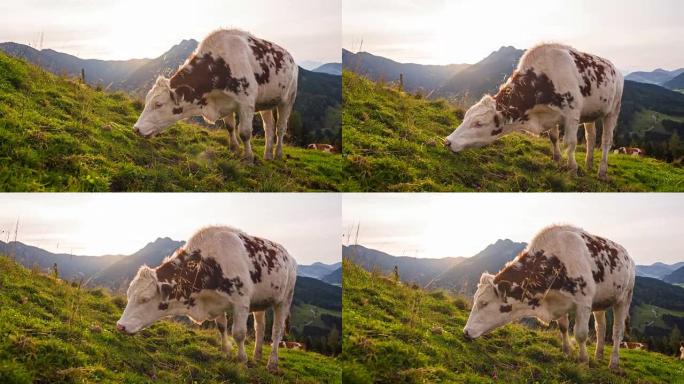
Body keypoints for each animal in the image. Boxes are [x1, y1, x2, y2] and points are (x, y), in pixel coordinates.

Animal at [115, 225, 296, 372]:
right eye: (128, 295)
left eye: (145, 299)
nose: (120, 326)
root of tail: (289, 256)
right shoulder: (216, 302)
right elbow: (222, 327)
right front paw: (226, 352)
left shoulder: (241, 302)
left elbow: (238, 333)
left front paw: (241, 359)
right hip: (260, 302)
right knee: (260, 328)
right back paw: (257, 356)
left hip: (284, 299)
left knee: (276, 331)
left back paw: (272, 363)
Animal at [132, 29, 298, 162]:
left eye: (158, 104)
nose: (136, 129)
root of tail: (290, 57)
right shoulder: (225, 102)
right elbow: (230, 127)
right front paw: (234, 149)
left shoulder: (246, 103)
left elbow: (244, 133)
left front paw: (248, 157)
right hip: (266, 102)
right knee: (269, 126)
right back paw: (268, 155)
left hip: (288, 99)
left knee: (280, 128)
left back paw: (278, 154)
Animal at [444, 44, 624, 180]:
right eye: (465, 117)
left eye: (479, 123)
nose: (447, 141)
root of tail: (614, 67)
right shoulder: (552, 115)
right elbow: (553, 138)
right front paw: (557, 160)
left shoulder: (572, 113)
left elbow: (570, 143)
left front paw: (572, 169)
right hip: (590, 114)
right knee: (591, 138)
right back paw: (589, 163)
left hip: (613, 109)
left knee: (606, 141)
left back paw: (602, 172)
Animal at [464, 224, 636, 370]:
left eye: (484, 303)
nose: (465, 332)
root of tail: (627, 255)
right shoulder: (560, 302)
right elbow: (563, 327)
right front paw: (567, 352)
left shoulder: (583, 303)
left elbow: (580, 334)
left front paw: (583, 360)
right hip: (599, 302)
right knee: (601, 327)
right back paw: (599, 355)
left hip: (624, 298)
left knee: (617, 331)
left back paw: (614, 363)